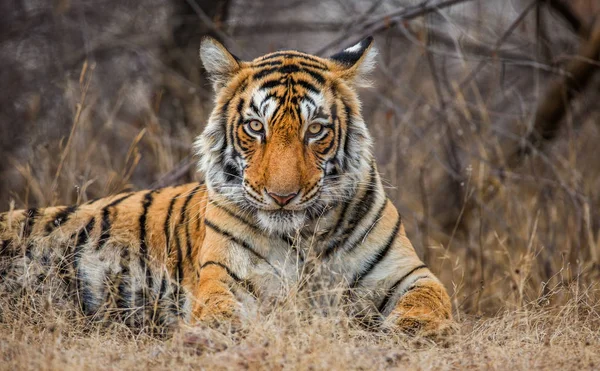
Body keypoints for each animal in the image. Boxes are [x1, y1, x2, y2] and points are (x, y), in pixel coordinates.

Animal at [0, 37, 450, 338]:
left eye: (315, 130)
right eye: (255, 126)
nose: (282, 197)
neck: (303, 237)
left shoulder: (407, 273)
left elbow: (430, 301)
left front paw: (408, 331)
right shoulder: (226, 278)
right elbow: (221, 312)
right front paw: (216, 333)